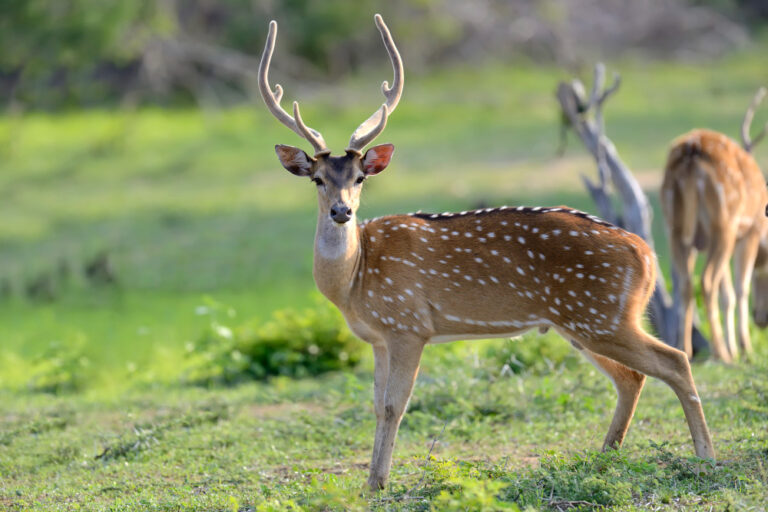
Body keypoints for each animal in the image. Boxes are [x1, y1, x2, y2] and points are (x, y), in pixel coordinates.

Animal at [258, 14, 712, 490]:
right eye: (317, 179)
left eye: (360, 177)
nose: (342, 211)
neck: (354, 281)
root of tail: (647, 254)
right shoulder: (379, 337)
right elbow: (377, 405)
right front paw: (372, 483)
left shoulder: (409, 325)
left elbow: (395, 405)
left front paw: (379, 483)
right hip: (586, 322)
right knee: (633, 376)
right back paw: (605, 455)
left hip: (601, 315)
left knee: (675, 359)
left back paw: (705, 456)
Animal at [660, 88, 768, 362]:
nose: (761, 319)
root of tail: (691, 158)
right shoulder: (749, 232)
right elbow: (740, 288)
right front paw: (745, 349)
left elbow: (726, 293)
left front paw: (736, 347)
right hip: (723, 224)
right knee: (706, 281)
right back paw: (721, 353)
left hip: (675, 227)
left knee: (685, 283)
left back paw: (685, 349)